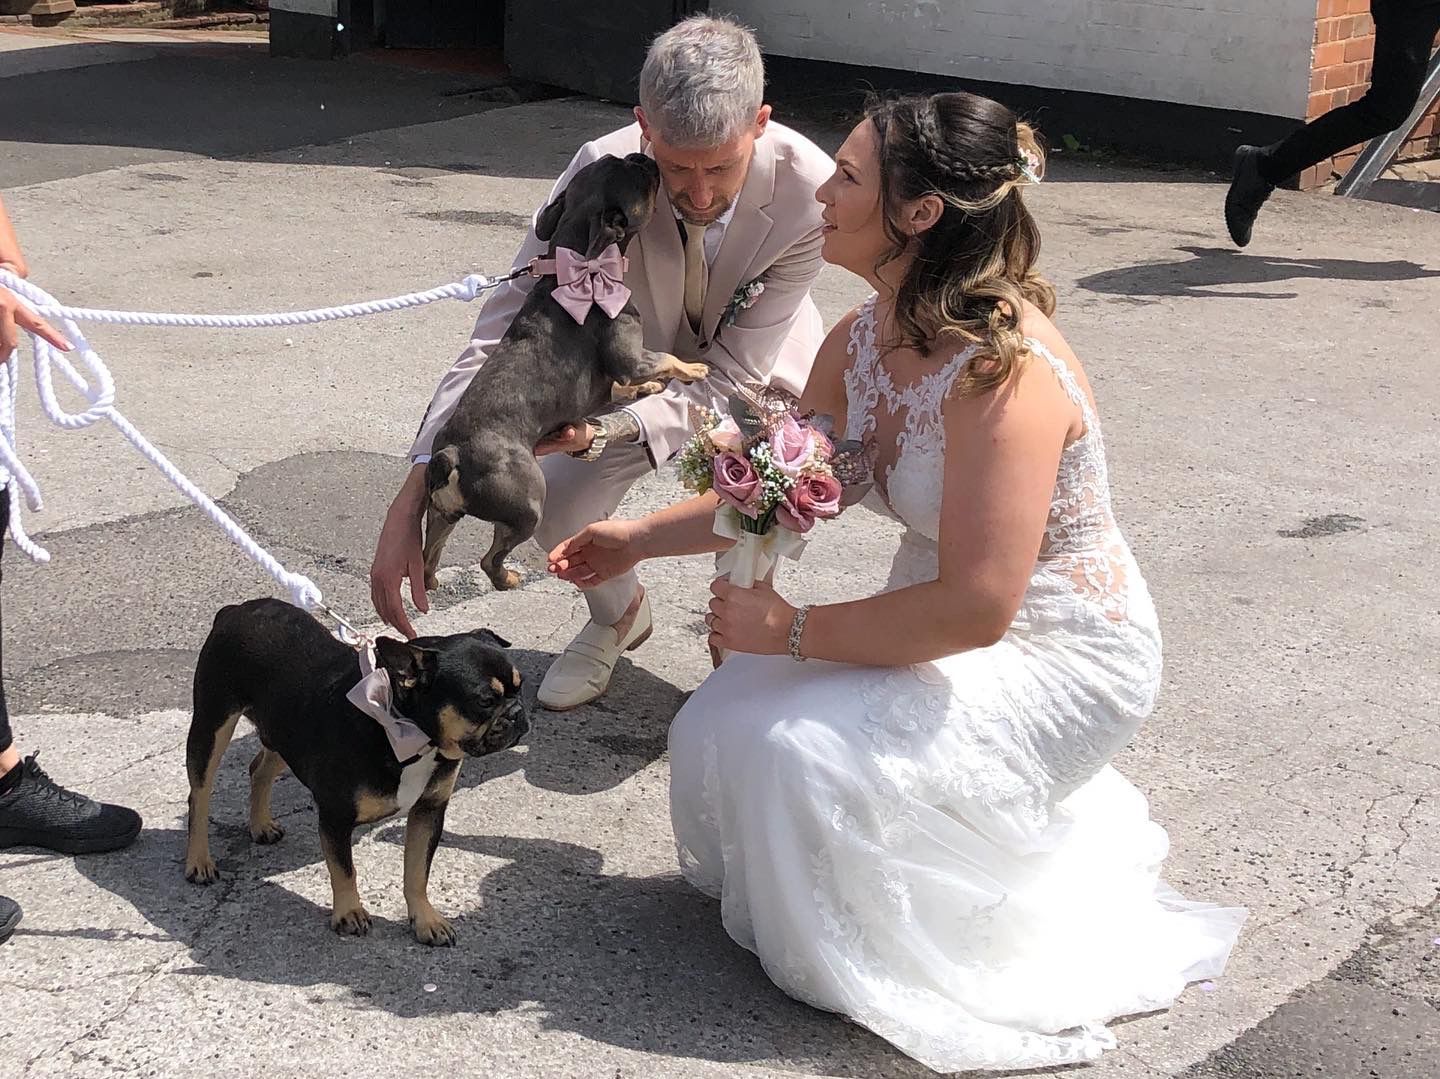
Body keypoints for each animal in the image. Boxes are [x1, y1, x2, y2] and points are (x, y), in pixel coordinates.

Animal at [184, 598, 528, 945]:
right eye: (485, 701)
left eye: (520, 686)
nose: (517, 713)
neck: (404, 729)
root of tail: (235, 610)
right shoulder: (336, 818)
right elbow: (345, 870)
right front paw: (349, 913)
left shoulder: (428, 812)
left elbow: (417, 871)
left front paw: (425, 919)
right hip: (212, 728)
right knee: (199, 796)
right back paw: (199, 860)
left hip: (283, 735)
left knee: (260, 770)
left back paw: (260, 825)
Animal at [422, 151, 709, 593]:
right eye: (639, 175)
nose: (641, 156)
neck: (578, 269)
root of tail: (451, 455)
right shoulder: (630, 356)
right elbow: (665, 358)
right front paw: (692, 367)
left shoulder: (620, 374)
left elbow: (629, 386)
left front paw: (649, 388)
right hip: (527, 505)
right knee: (491, 559)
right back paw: (509, 578)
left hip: (442, 514)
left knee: (428, 554)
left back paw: (432, 579)